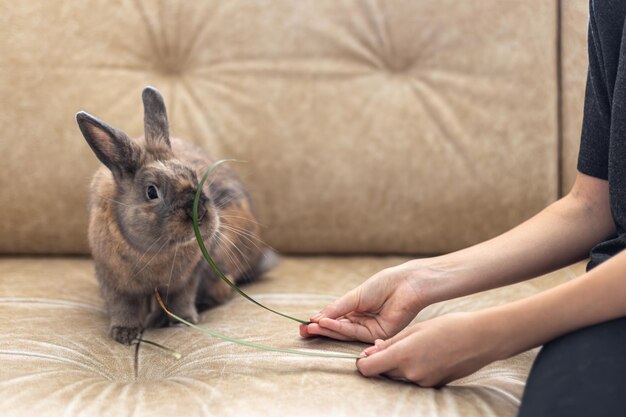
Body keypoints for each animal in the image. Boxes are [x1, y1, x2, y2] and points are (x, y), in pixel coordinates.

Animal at [75, 86, 276, 342]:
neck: (154, 252)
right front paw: (124, 335)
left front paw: (183, 321)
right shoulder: (115, 282)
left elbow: (181, 299)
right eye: (151, 191)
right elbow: (124, 307)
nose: (199, 213)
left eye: (194, 175)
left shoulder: (188, 278)